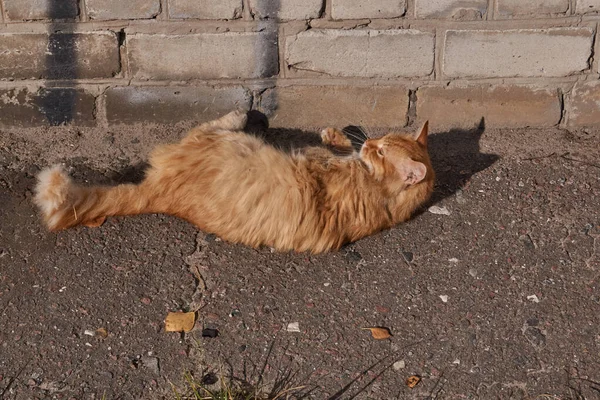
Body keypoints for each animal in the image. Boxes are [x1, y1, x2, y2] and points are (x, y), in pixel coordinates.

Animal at [35, 111, 434, 252]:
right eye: (380, 141)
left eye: (381, 152)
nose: (370, 142)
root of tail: (160, 195)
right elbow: (339, 145)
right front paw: (340, 134)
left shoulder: (317, 161)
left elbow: (325, 150)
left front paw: (337, 140)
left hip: (219, 141)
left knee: (210, 125)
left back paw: (243, 112)